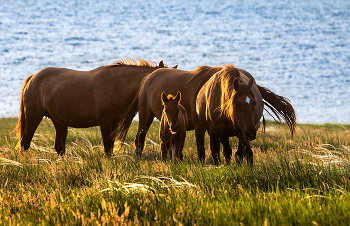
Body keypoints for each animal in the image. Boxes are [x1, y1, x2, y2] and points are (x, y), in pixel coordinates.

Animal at [14, 59, 176, 156]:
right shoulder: (105, 123)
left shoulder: (113, 123)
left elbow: (110, 146)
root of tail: (32, 78)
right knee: (25, 143)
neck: (117, 84)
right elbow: (107, 148)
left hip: (59, 122)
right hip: (34, 117)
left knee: (59, 147)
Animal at [113, 63, 296, 164]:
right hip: (146, 116)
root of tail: (148, 78)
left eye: (256, 103)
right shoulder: (206, 128)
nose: (251, 132)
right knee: (140, 140)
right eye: (236, 104)